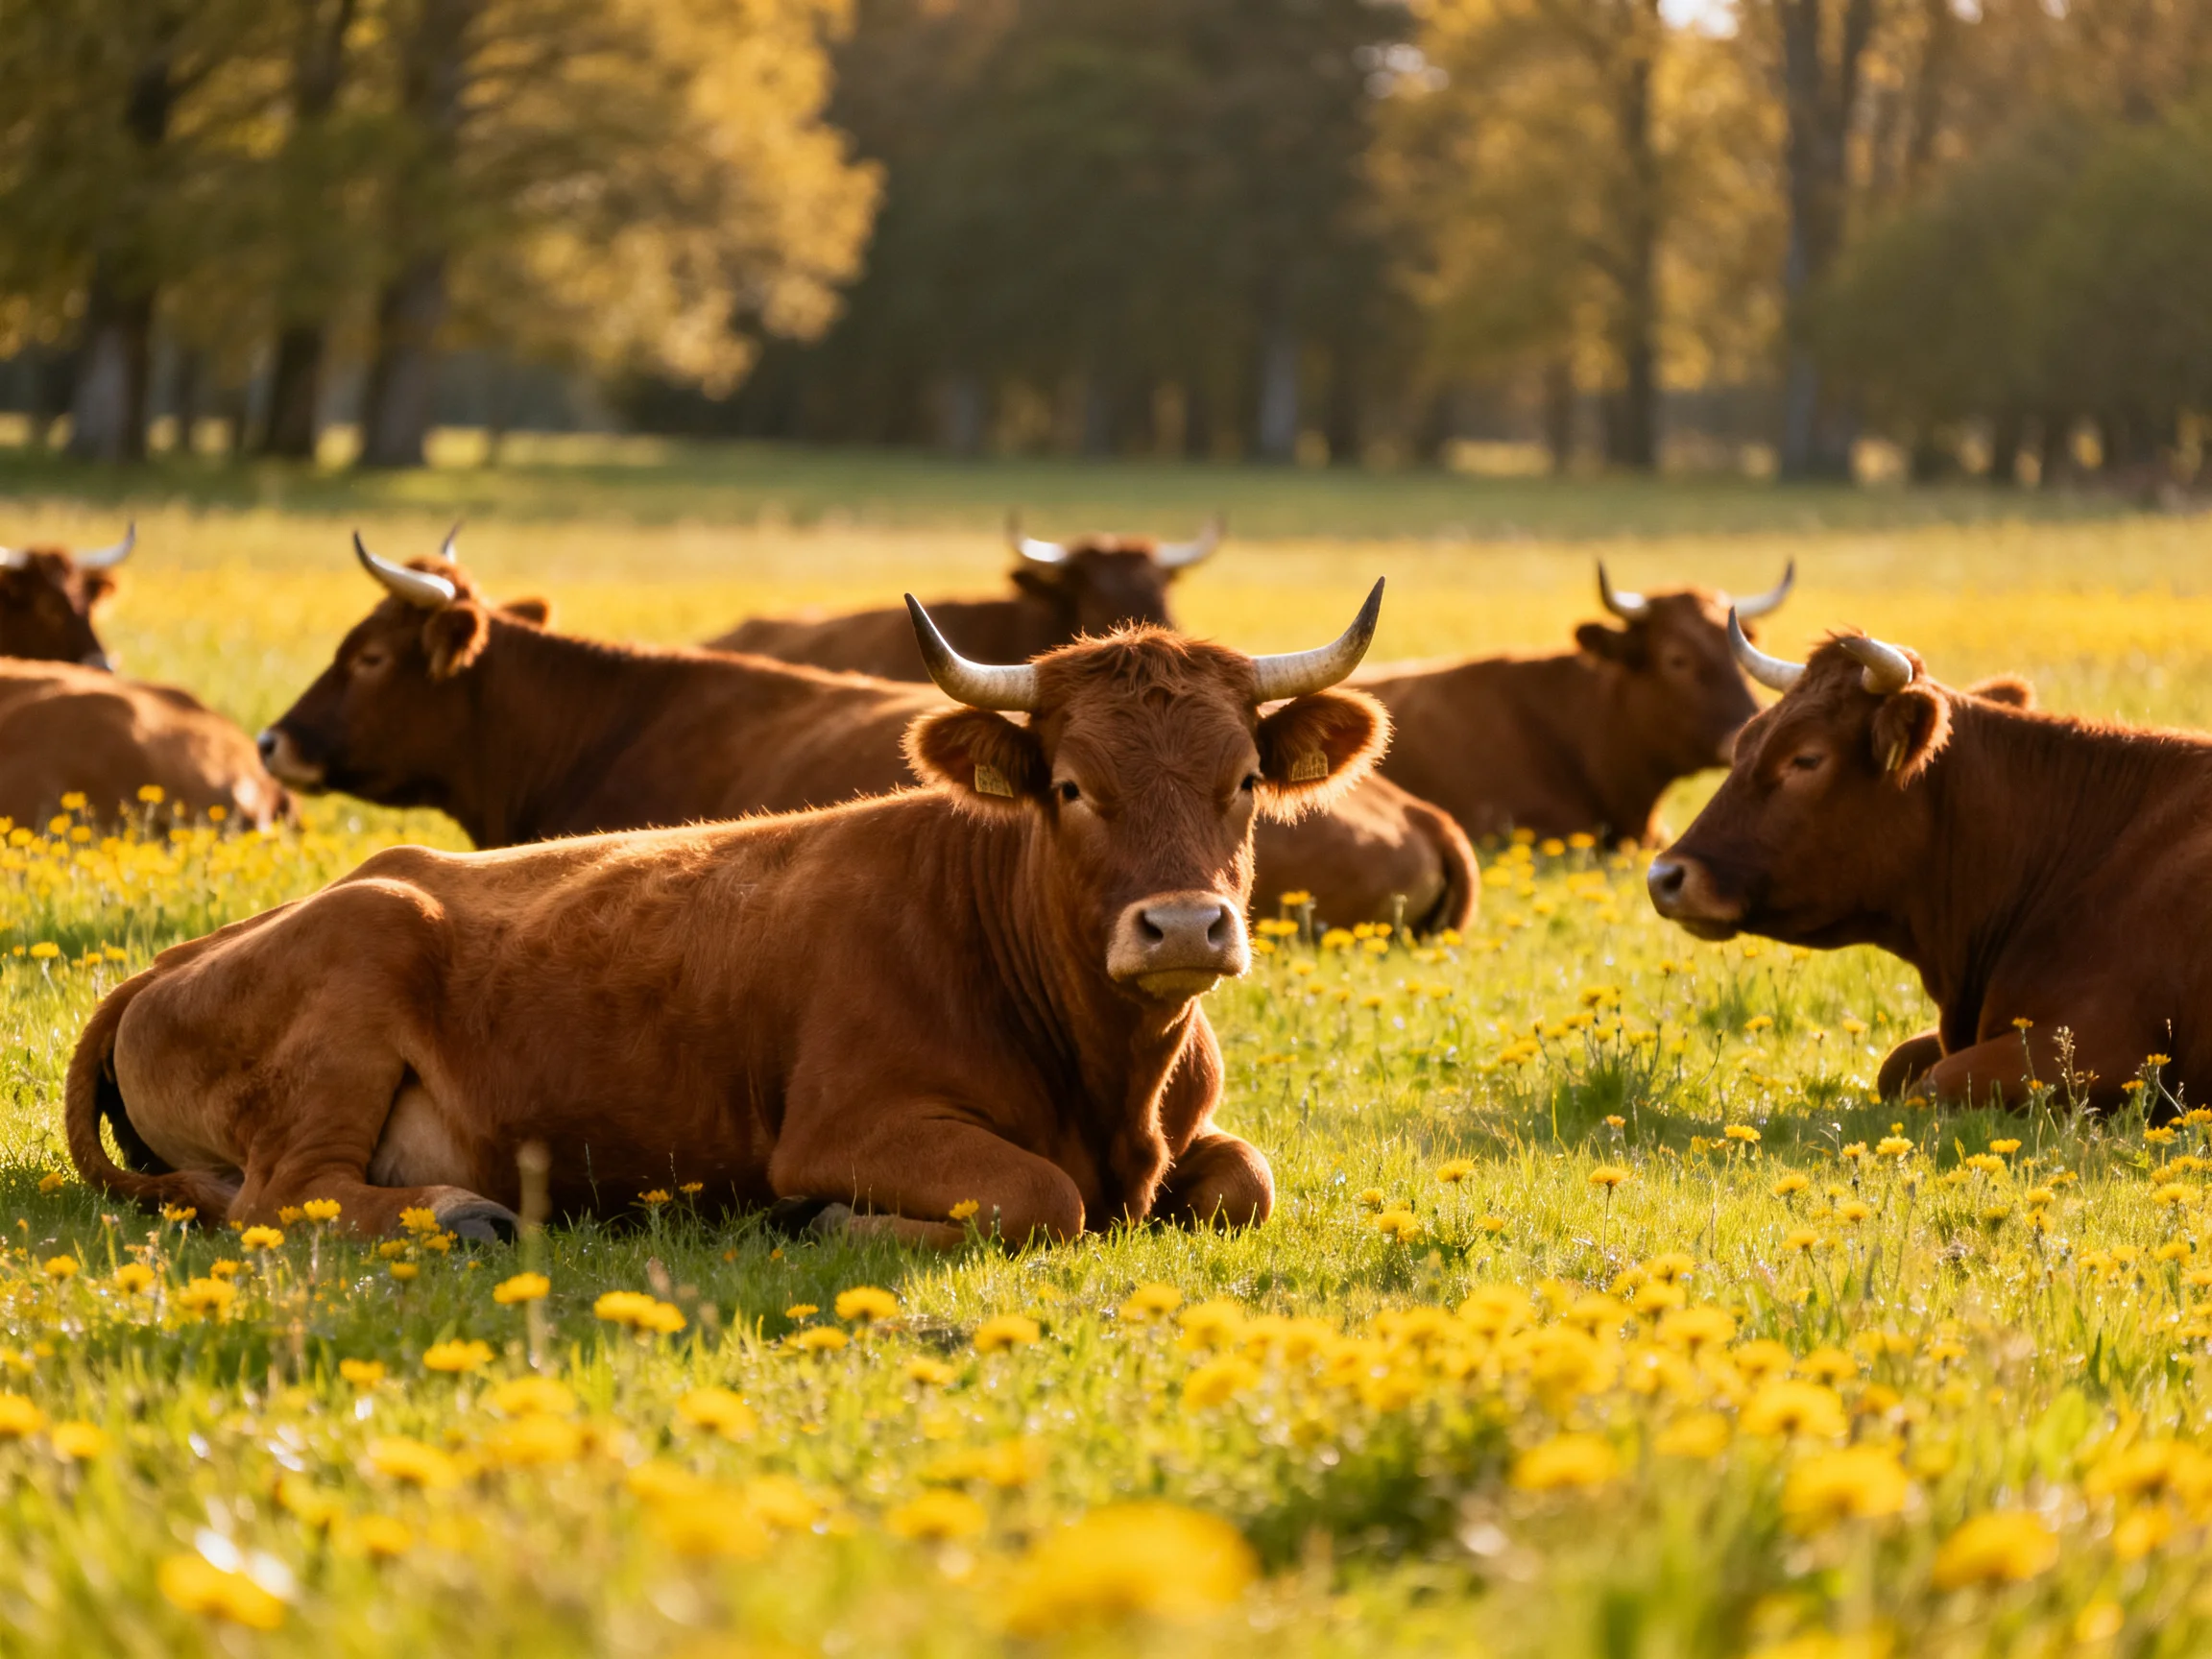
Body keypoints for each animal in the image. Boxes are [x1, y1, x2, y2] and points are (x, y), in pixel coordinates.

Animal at [66, 588, 1390, 1246]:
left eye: (1245, 780)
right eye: (1071, 786)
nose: (1185, 928)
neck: (1111, 1081)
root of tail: (172, 961)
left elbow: (1246, 1180)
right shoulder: (852, 1125)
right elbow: (1038, 1200)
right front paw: (837, 1226)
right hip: (357, 979)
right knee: (286, 1197)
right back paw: (463, 1212)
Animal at [1646, 615, 2206, 1111]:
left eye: (1806, 758)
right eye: (1745, 741)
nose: (1664, 877)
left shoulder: (2107, 1049)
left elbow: (1931, 1083)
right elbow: (1895, 1063)